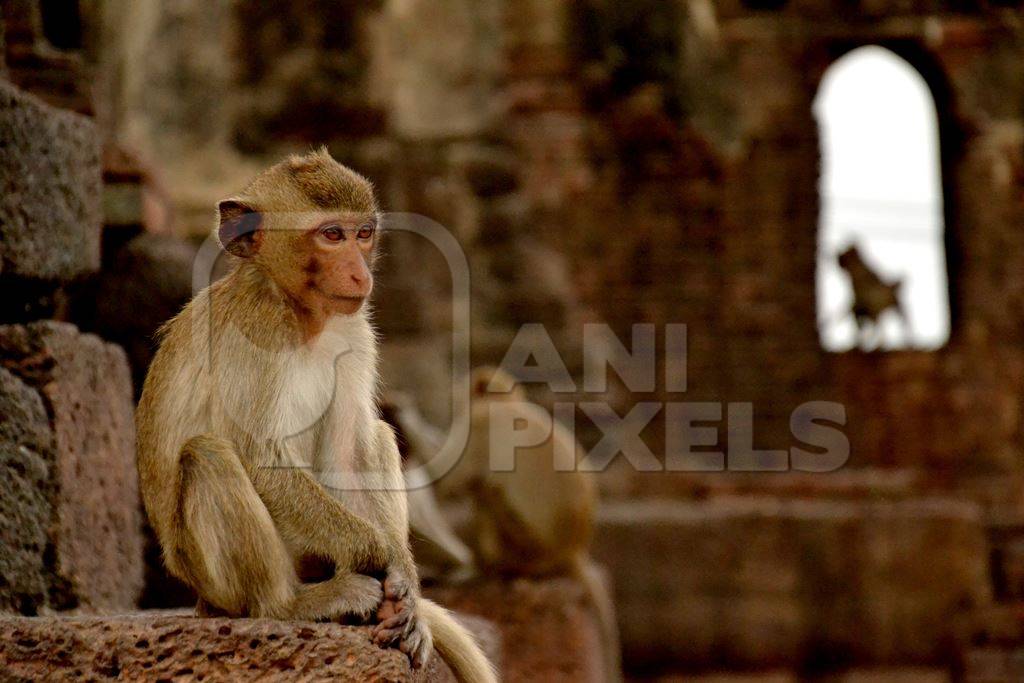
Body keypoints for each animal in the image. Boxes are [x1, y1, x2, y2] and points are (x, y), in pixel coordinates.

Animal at [135, 149, 495, 683]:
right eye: (331, 235)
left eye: (362, 233)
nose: (361, 274)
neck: (302, 315)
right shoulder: (257, 324)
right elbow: (260, 457)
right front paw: (381, 558)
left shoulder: (354, 330)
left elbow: (350, 449)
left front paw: (404, 584)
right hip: (207, 574)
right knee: (208, 455)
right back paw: (290, 605)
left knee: (376, 434)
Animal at [442, 368, 618, 683]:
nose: (455, 384)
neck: (505, 404)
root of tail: (572, 551)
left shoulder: (478, 426)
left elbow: (453, 482)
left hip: (523, 545)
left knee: (489, 491)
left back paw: (488, 571)